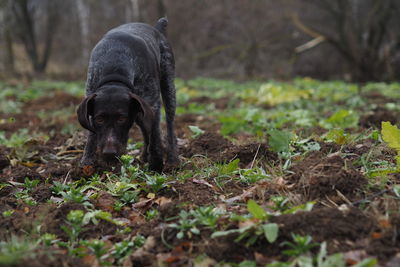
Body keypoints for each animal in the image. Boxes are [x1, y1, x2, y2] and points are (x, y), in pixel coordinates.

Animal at [77, 18, 177, 174]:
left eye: (122, 119)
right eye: (99, 119)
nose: (109, 153)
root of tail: (157, 28)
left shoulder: (153, 105)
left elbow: (155, 136)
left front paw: (156, 166)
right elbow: (92, 136)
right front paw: (87, 162)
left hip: (168, 88)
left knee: (170, 126)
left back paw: (173, 160)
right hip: (140, 113)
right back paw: (144, 156)